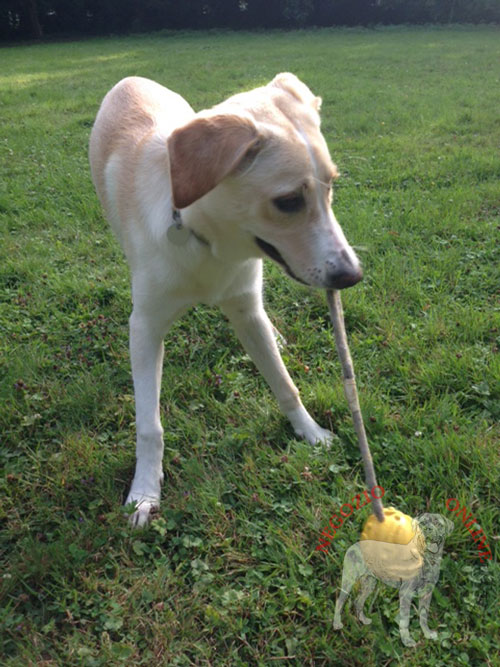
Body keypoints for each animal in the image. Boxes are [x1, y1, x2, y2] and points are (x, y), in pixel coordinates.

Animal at [90, 74, 362, 528]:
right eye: (288, 201)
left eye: (332, 186)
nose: (352, 275)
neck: (208, 243)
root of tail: (132, 79)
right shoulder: (144, 328)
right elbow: (149, 426)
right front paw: (144, 492)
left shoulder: (246, 309)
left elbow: (285, 385)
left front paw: (311, 433)